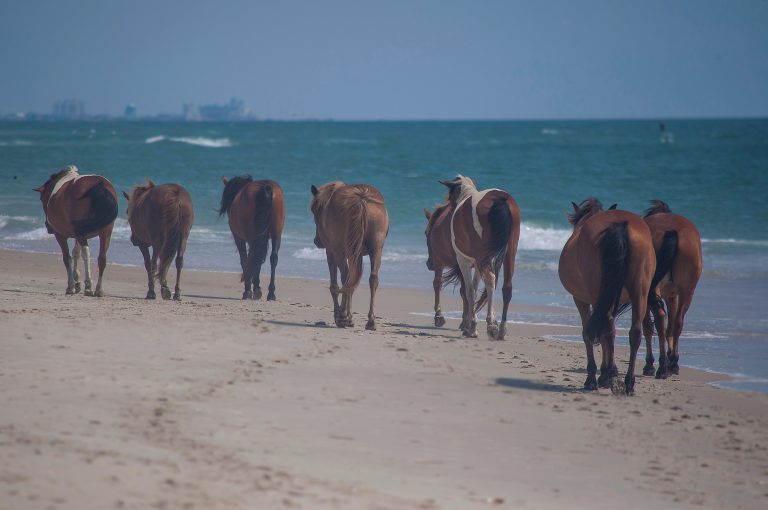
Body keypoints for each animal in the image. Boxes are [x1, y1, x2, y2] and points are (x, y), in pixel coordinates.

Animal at [33, 165, 118, 296]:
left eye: (42, 199)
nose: (48, 226)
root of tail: (99, 185)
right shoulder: (78, 234)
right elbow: (75, 253)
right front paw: (77, 281)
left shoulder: (61, 235)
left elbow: (67, 257)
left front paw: (71, 286)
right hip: (105, 233)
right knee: (102, 258)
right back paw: (99, 289)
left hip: (82, 233)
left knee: (86, 254)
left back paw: (88, 285)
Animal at [308, 181, 388, 328]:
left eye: (315, 210)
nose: (317, 241)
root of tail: (361, 197)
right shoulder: (356, 255)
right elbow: (352, 283)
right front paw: (349, 317)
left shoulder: (331, 251)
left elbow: (336, 285)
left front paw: (341, 316)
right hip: (376, 249)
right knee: (372, 279)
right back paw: (370, 321)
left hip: (339, 250)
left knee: (345, 277)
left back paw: (343, 316)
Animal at [438, 173, 520, 340]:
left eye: (450, 197)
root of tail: (500, 199)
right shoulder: (477, 263)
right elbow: (475, 287)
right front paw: (470, 325)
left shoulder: (464, 261)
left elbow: (470, 290)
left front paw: (472, 326)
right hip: (510, 252)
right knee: (506, 287)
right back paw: (502, 329)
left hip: (483, 257)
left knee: (490, 280)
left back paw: (491, 326)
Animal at [560, 198, 656, 394]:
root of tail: (620, 225)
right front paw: (608, 372)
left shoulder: (581, 299)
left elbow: (588, 332)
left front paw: (596, 376)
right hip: (640, 291)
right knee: (634, 332)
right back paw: (628, 382)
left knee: (606, 328)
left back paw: (604, 376)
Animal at [640, 199, 704, 378]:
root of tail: (672, 231)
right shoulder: (672, 295)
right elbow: (671, 326)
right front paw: (670, 359)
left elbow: (648, 326)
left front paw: (650, 364)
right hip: (687, 291)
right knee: (678, 323)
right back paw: (673, 364)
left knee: (660, 319)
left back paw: (661, 366)